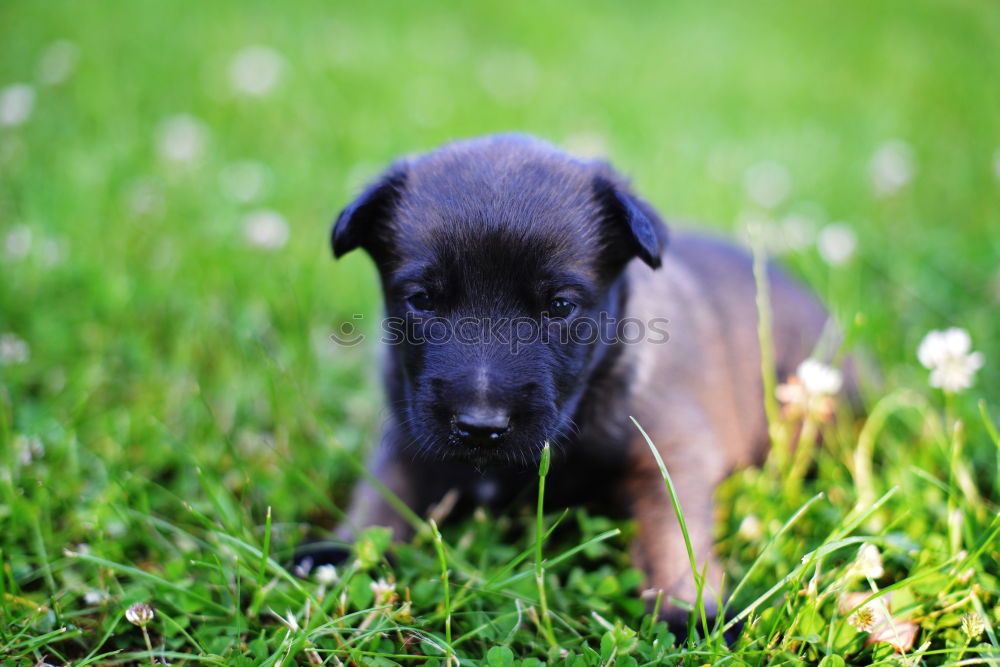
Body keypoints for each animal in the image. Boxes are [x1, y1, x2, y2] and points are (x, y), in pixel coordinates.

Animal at [302, 134, 828, 628]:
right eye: (422, 300)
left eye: (560, 306)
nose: (480, 427)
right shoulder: (408, 431)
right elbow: (383, 492)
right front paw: (344, 551)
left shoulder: (669, 447)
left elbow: (672, 528)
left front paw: (689, 608)